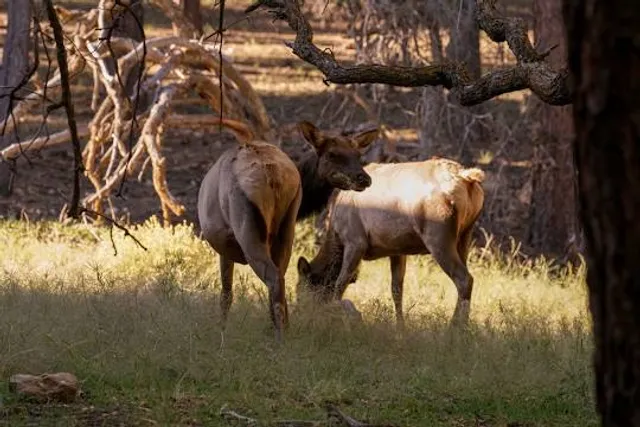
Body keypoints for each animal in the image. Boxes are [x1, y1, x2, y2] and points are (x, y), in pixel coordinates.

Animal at [197, 118, 378, 340]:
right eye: (332, 154)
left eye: (358, 155)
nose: (364, 178)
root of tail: (272, 174)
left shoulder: (224, 246)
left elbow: (226, 292)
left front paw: (221, 331)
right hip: (286, 225)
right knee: (280, 279)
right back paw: (284, 330)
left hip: (247, 229)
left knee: (273, 278)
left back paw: (279, 337)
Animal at [296, 157, 486, 327]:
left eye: (300, 290)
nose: (300, 313)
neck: (334, 233)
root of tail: (466, 177)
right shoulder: (397, 250)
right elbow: (397, 290)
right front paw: (400, 328)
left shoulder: (355, 240)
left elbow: (340, 284)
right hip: (465, 234)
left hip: (438, 235)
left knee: (464, 279)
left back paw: (455, 328)